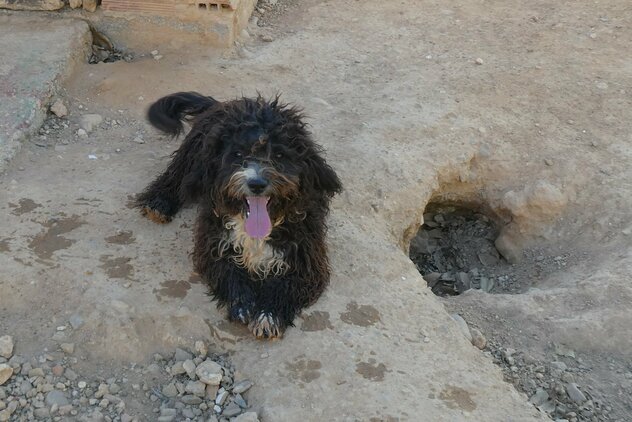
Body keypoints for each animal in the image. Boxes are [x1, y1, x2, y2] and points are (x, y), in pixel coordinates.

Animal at [134, 93, 340, 340]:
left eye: (279, 154)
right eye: (238, 154)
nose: (257, 184)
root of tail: (223, 104)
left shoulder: (308, 262)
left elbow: (284, 285)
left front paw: (268, 315)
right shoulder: (212, 247)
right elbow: (229, 271)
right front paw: (242, 304)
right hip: (194, 155)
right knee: (176, 175)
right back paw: (159, 203)